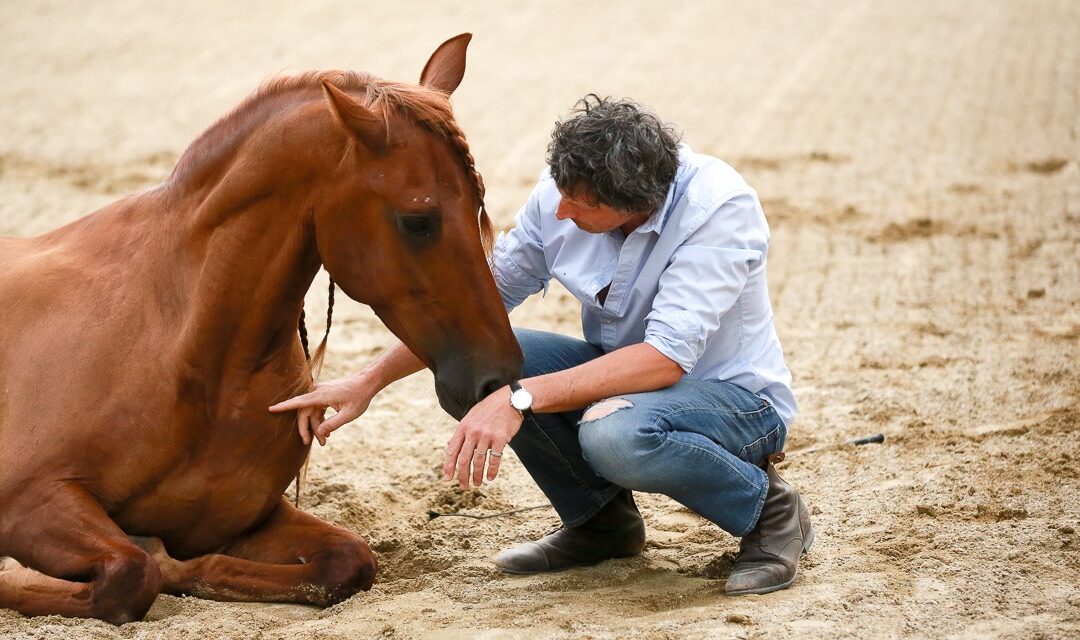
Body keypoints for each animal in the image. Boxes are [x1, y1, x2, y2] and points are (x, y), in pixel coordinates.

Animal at [0, 33, 522, 624]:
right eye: (418, 221)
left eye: (478, 204)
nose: (498, 376)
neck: (191, 355)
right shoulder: (29, 500)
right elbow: (131, 575)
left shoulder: (247, 519)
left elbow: (345, 561)